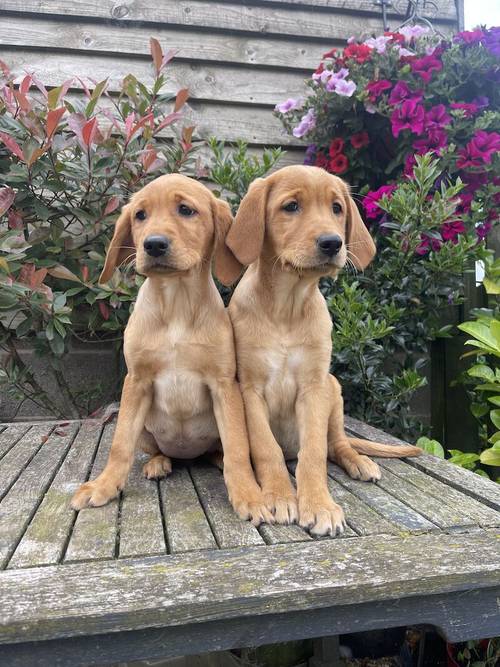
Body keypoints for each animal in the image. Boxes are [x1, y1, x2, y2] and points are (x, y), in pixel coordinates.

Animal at [72, 174, 272, 528]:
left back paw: (217, 460)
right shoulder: (136, 382)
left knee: (222, 449)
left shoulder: (224, 385)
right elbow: (119, 445)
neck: (177, 304)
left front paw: (248, 494)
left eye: (185, 210)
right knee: (151, 448)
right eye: (140, 215)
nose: (153, 244)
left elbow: (238, 448)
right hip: (145, 427)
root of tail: (186, 456)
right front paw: (104, 485)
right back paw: (158, 462)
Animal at [226, 167, 418, 536]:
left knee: (337, 443)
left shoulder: (314, 387)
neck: (286, 308)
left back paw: (360, 462)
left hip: (333, 388)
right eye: (291, 206)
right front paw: (278, 495)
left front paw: (319, 505)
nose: (332, 243)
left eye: (336, 208)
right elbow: (266, 449)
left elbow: (313, 452)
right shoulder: (249, 390)